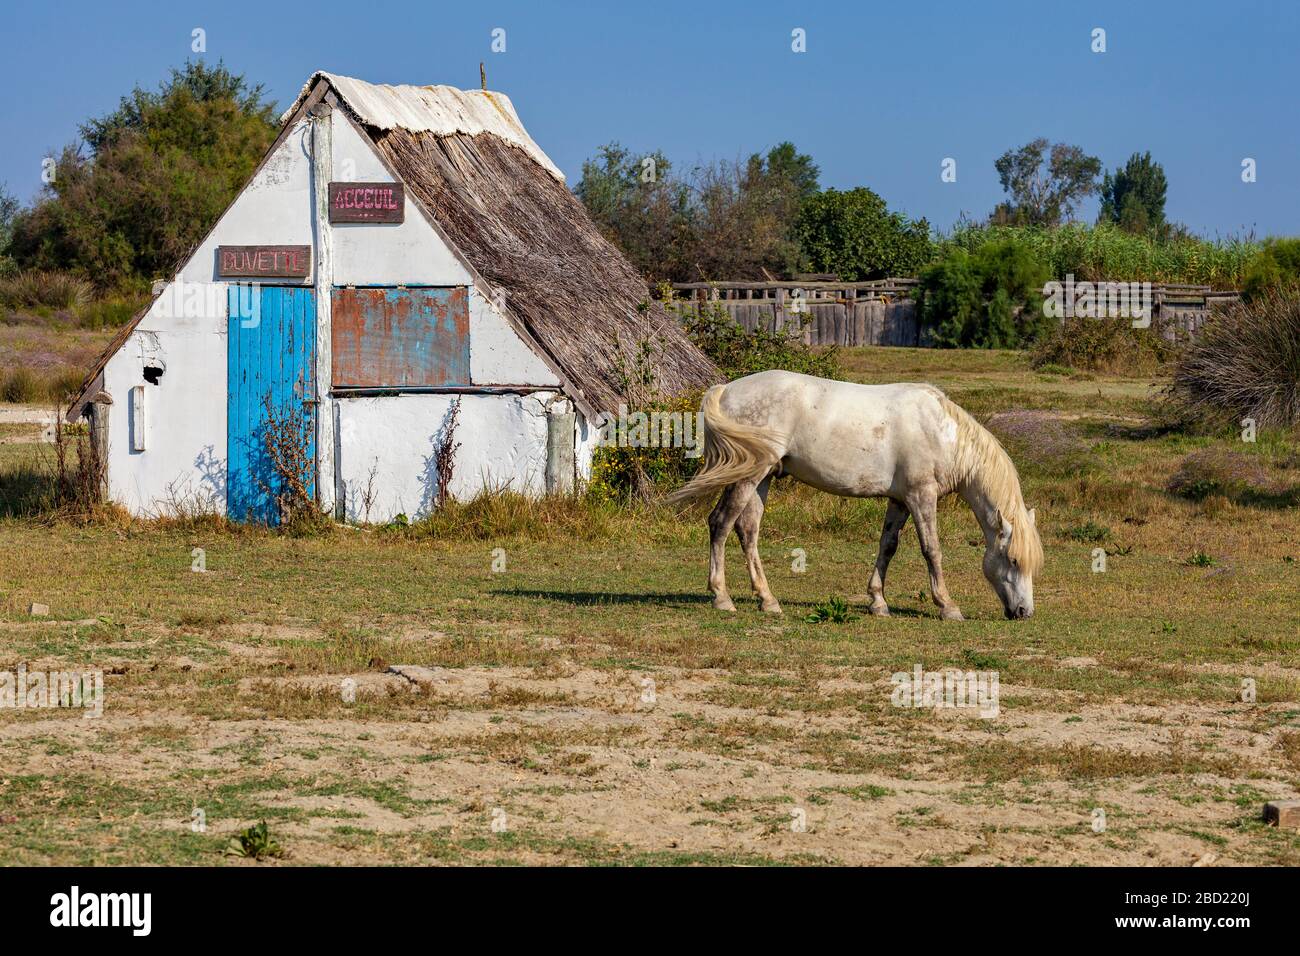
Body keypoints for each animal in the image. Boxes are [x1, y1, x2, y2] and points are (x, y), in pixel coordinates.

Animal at [670, 369, 1045, 624]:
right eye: (1013, 560)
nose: (1024, 611)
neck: (942, 432)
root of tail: (726, 390)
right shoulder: (921, 496)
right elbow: (932, 549)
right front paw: (948, 606)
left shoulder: (900, 500)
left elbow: (888, 546)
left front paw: (878, 602)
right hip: (748, 477)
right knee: (721, 523)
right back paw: (722, 597)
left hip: (762, 477)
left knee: (747, 530)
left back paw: (767, 600)